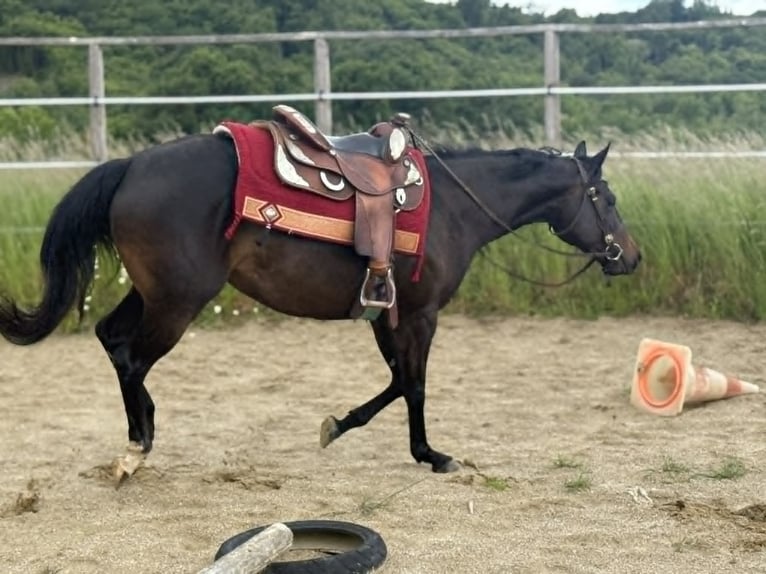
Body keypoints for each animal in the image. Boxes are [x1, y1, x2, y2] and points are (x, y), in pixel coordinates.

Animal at [0, 115, 641, 477]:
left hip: (154, 292)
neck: (456, 205)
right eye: (606, 197)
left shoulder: (386, 312)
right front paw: (431, 454)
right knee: (132, 356)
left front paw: (337, 425)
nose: (630, 256)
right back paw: (137, 449)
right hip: (178, 301)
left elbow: (395, 381)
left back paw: (144, 429)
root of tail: (130, 166)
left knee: (111, 340)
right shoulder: (421, 314)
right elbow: (414, 384)